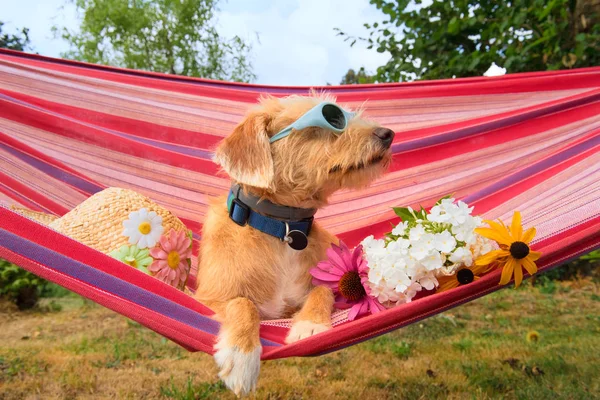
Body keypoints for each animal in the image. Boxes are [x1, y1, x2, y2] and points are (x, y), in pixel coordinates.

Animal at [195, 92, 396, 396]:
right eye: (330, 119)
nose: (388, 134)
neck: (284, 230)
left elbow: (322, 291)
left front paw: (311, 324)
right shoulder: (209, 297)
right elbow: (242, 303)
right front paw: (241, 355)